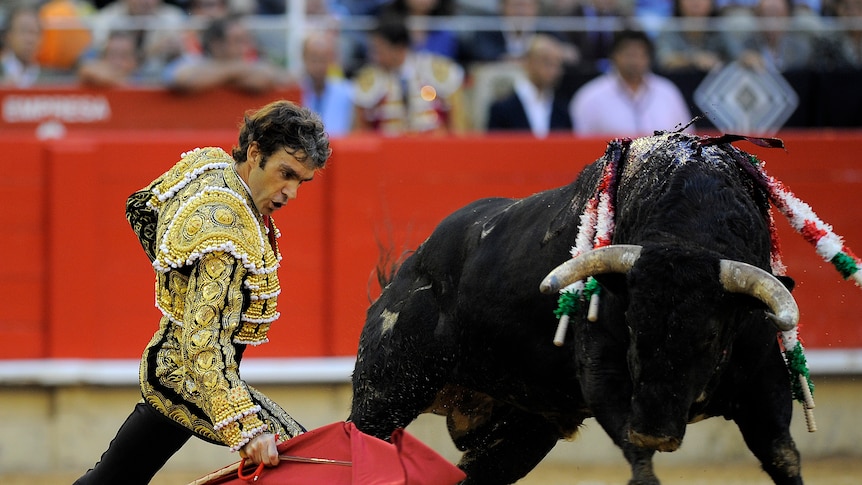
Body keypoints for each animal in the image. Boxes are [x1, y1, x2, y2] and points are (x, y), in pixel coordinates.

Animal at [348, 132, 808, 484]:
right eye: (632, 325)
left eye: (712, 334)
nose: (656, 434)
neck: (687, 234)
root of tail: (409, 271)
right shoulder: (604, 377)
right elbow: (639, 462)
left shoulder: (765, 380)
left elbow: (785, 458)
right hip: (386, 394)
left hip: (523, 429)